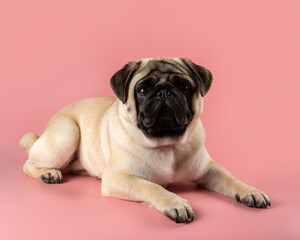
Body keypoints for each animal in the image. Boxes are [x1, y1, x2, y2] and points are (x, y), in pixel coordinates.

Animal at [19, 57, 270, 223]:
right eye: (141, 90)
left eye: (183, 86)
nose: (163, 91)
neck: (167, 144)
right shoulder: (120, 178)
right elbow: (151, 187)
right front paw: (175, 203)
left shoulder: (208, 170)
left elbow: (230, 179)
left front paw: (250, 191)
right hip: (68, 133)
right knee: (29, 163)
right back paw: (48, 173)